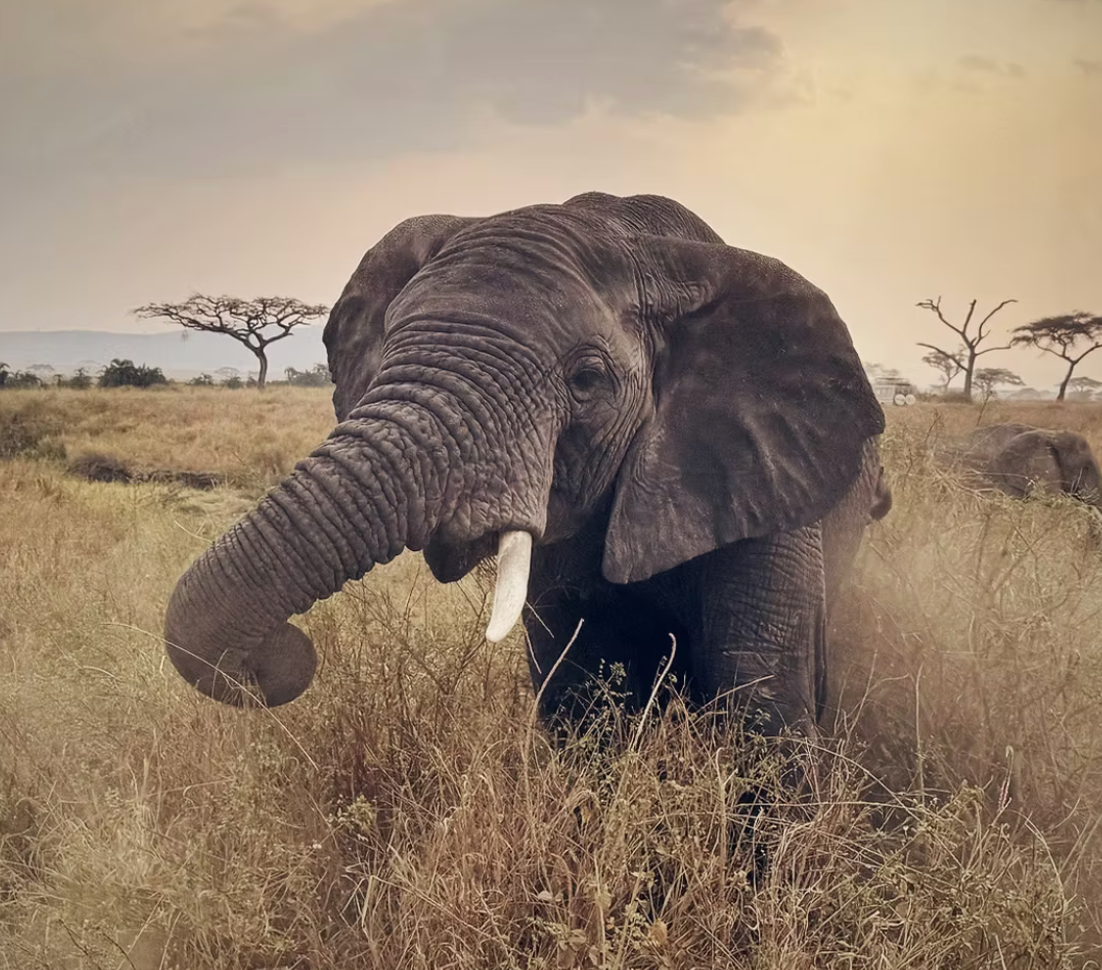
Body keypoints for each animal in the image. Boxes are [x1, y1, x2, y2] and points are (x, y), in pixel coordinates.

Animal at [162, 191, 892, 740]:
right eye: (387, 350)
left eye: (587, 380)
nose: (286, 652)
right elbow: (580, 699)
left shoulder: (766, 472)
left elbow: (762, 706)